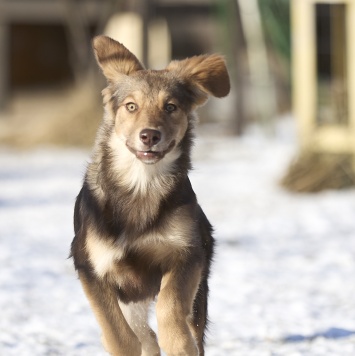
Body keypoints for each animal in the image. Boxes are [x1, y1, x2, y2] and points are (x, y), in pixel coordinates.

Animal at [71, 34, 231, 356]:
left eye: (170, 107)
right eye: (131, 106)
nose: (149, 135)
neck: (142, 184)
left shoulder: (186, 254)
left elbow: (170, 306)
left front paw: (178, 343)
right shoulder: (92, 268)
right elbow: (119, 335)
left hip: (199, 293)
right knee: (143, 336)